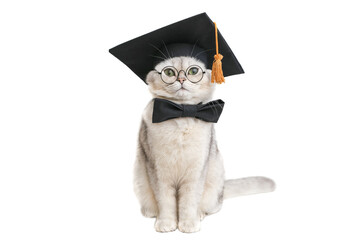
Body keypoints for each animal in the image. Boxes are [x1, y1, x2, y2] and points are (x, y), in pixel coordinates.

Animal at [133, 55, 276, 232]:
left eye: (193, 71)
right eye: (169, 72)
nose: (181, 79)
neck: (183, 114)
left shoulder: (196, 172)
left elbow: (188, 202)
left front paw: (188, 224)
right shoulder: (158, 171)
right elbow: (165, 202)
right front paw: (166, 224)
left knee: (212, 206)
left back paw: (199, 214)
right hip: (139, 178)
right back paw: (151, 213)